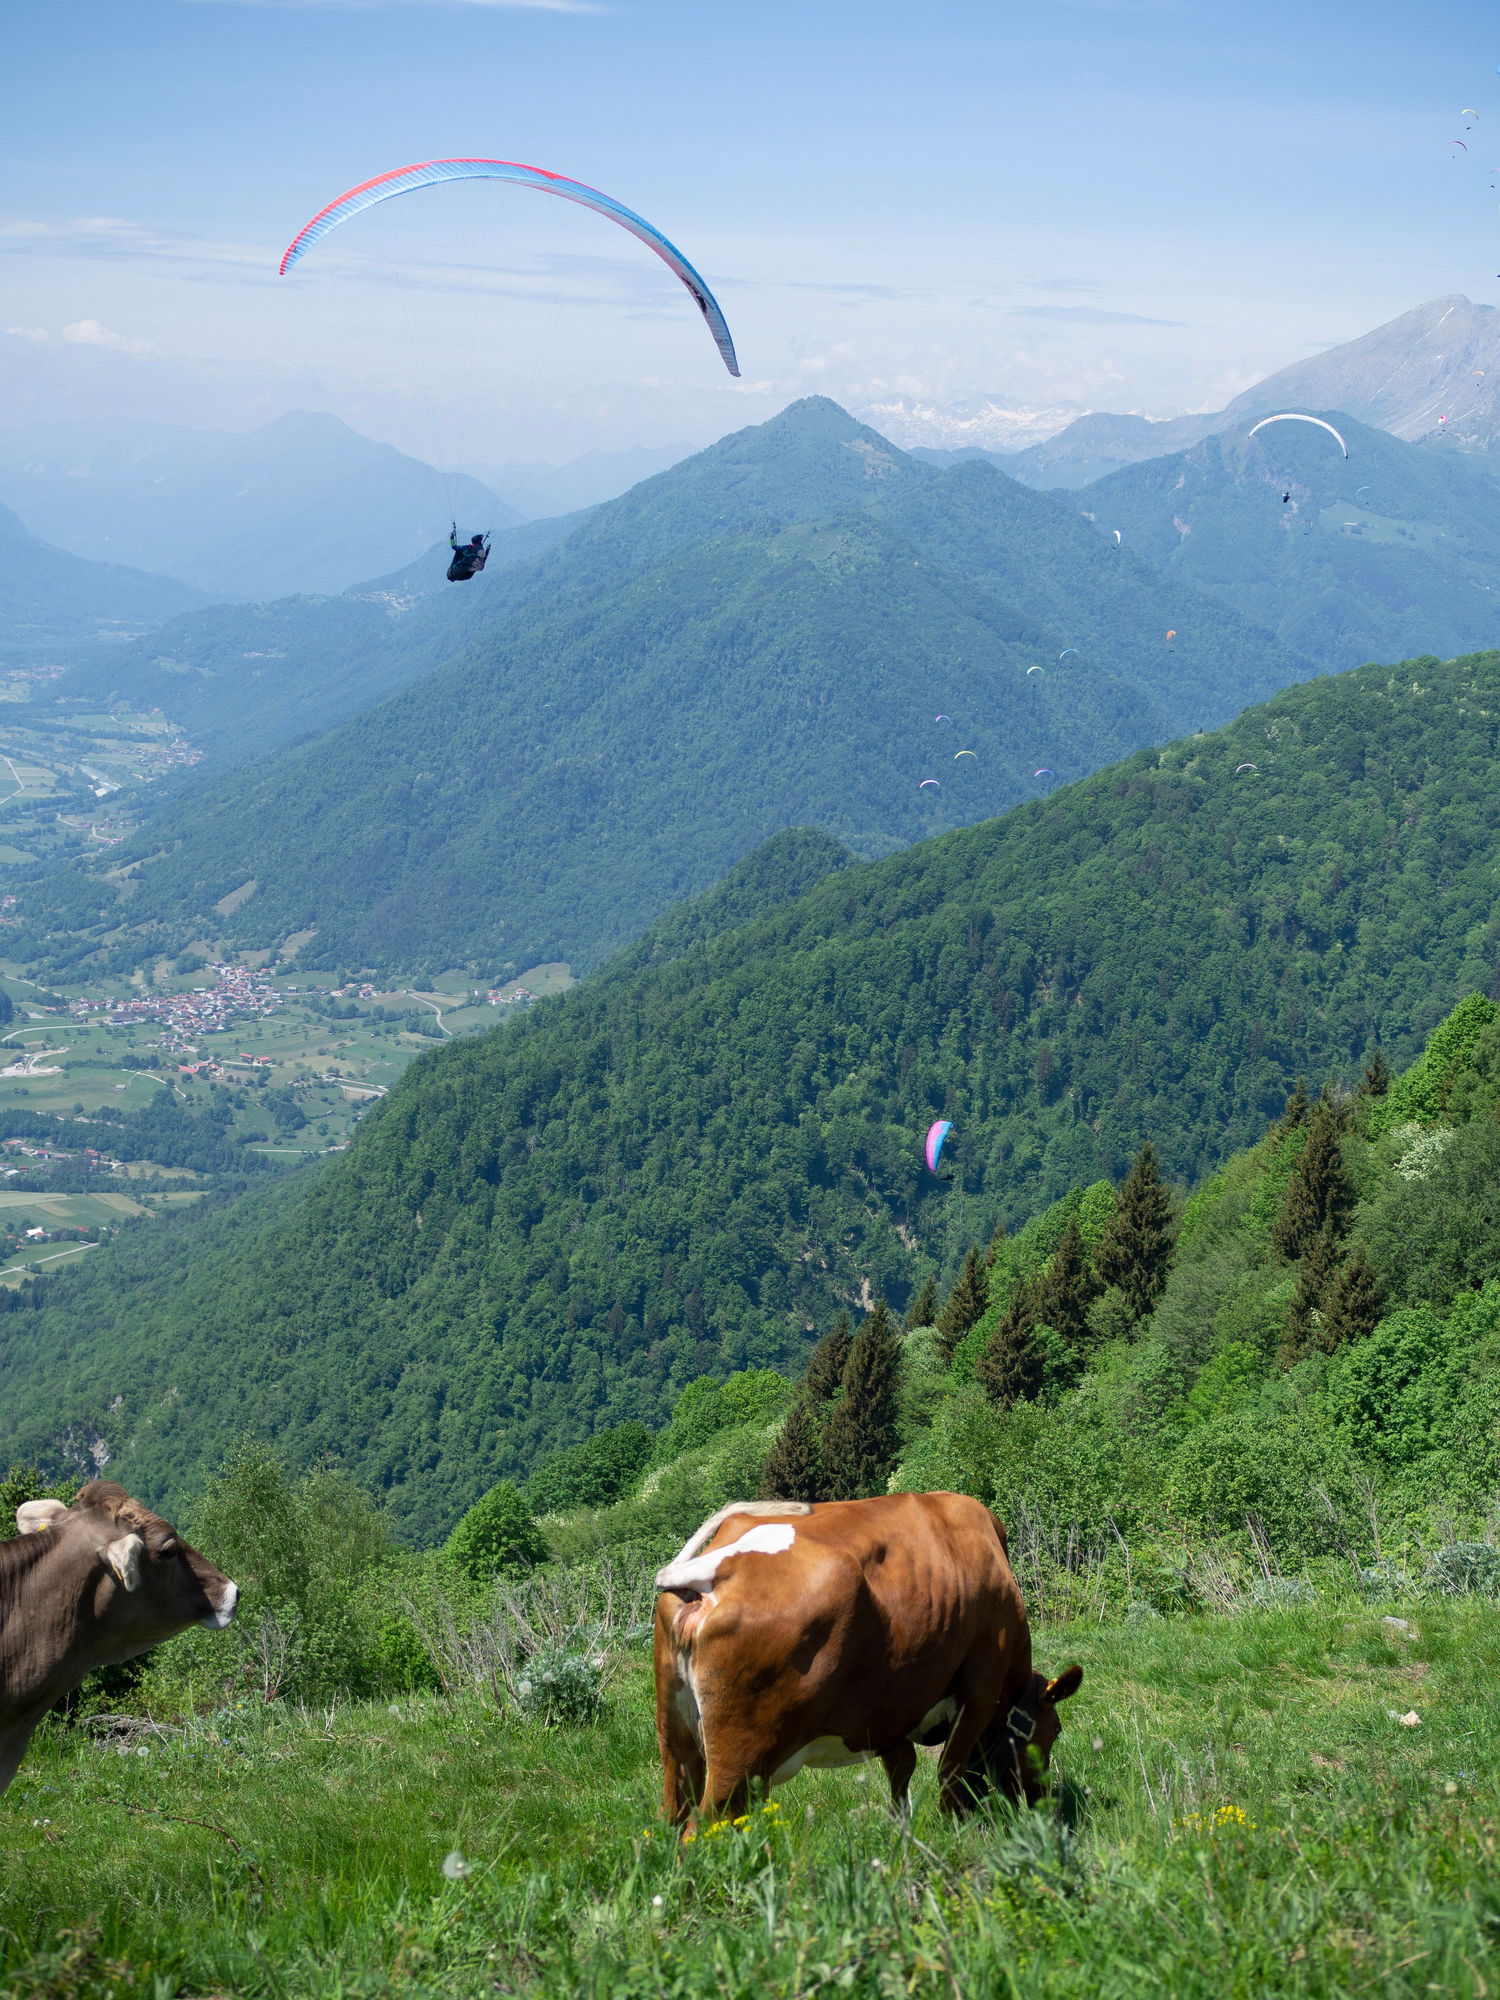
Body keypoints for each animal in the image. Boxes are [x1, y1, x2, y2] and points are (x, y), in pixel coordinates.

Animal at [656, 1488, 1080, 1832]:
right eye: (1056, 1729)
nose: (1042, 1801)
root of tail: (718, 1564)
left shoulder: (888, 1712)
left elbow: (903, 1769)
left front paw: (901, 1829)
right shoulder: (981, 1688)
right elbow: (950, 1771)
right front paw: (955, 1829)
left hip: (678, 1745)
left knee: (672, 1818)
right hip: (741, 1756)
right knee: (700, 1827)